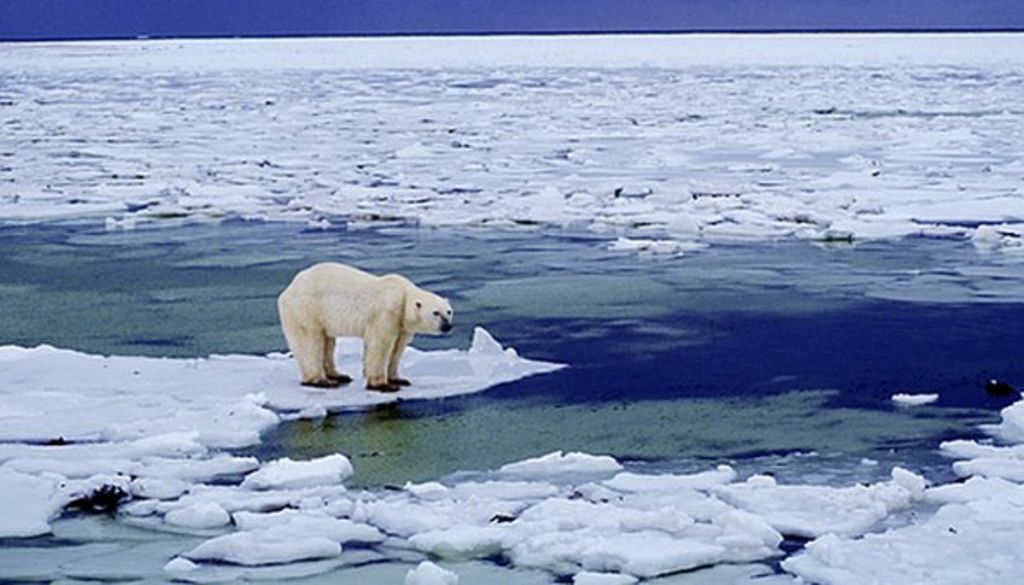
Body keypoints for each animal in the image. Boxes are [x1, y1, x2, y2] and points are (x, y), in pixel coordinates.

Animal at [280, 264, 456, 393]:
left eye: (449, 311)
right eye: (435, 312)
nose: (447, 326)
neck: (403, 295)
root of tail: (288, 290)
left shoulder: (402, 325)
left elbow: (397, 348)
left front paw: (398, 378)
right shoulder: (386, 312)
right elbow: (380, 345)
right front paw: (384, 385)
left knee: (327, 342)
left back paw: (338, 376)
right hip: (307, 309)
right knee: (310, 341)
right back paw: (322, 380)